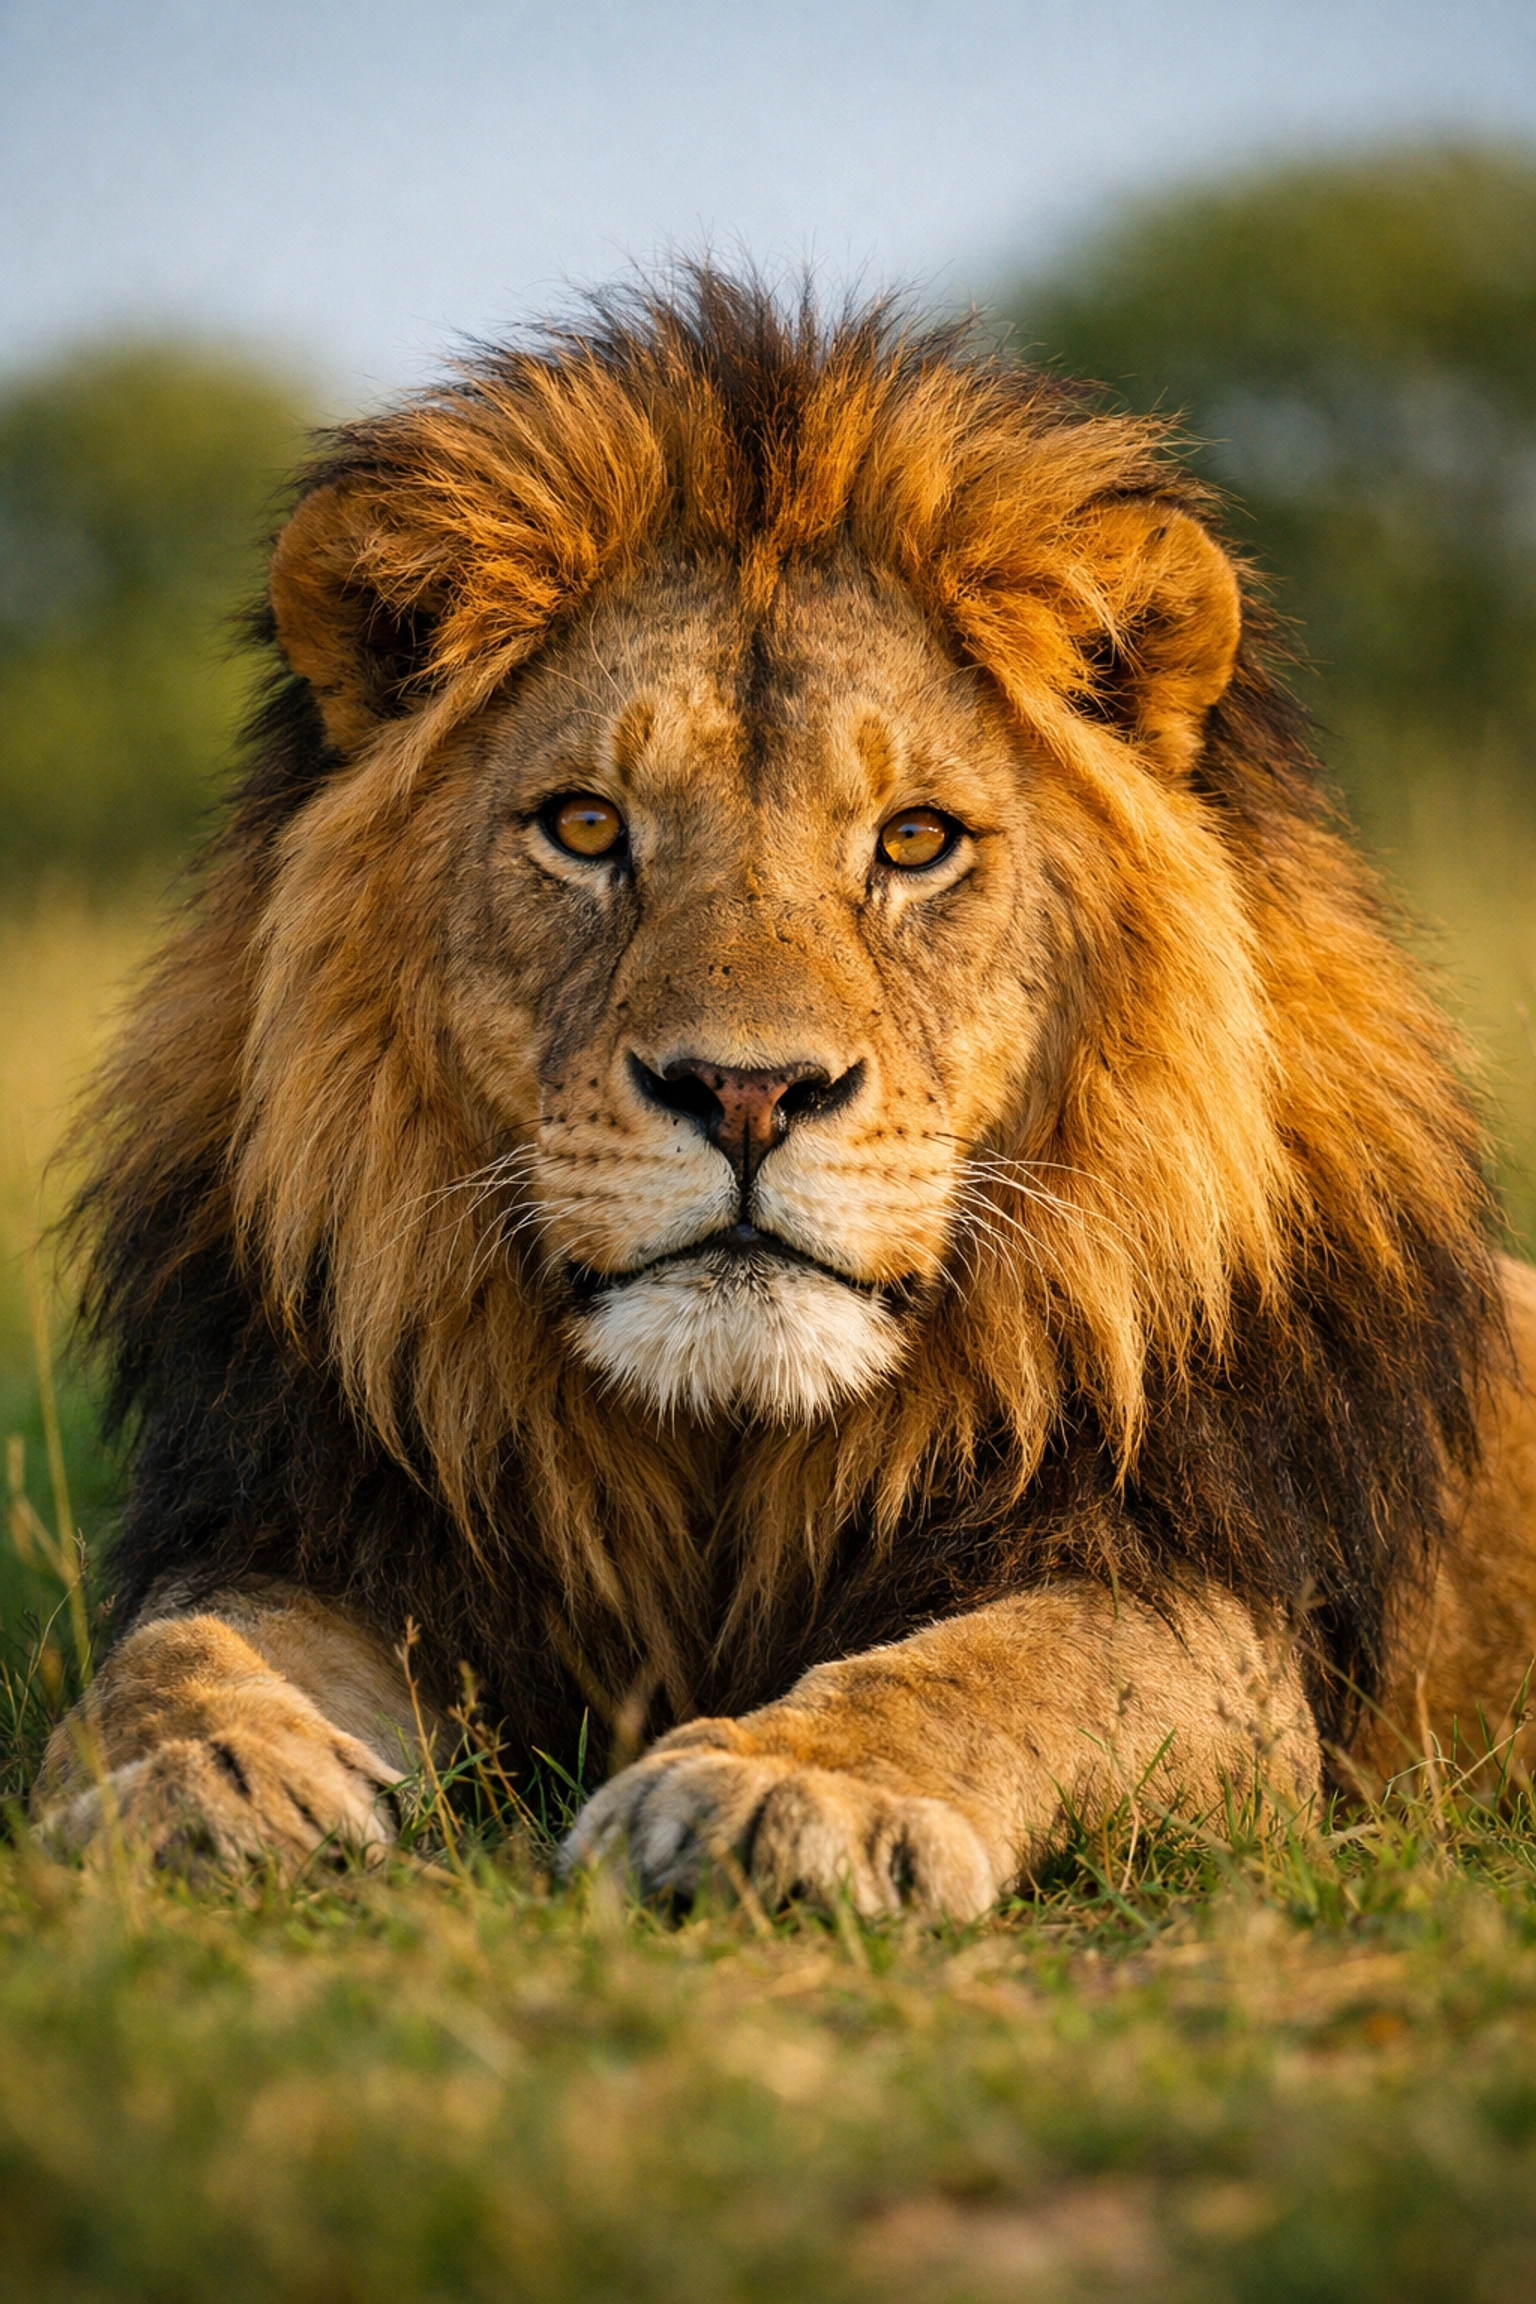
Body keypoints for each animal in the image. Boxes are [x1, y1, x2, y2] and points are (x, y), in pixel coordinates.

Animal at [34, 271, 1536, 1918]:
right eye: (585, 828)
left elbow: (998, 1667)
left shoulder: (1209, 1614)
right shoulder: (320, 1516)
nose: (746, 1092)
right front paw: (188, 1775)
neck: (728, 1455)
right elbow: (173, 1645)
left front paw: (780, 1793)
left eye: (916, 841)